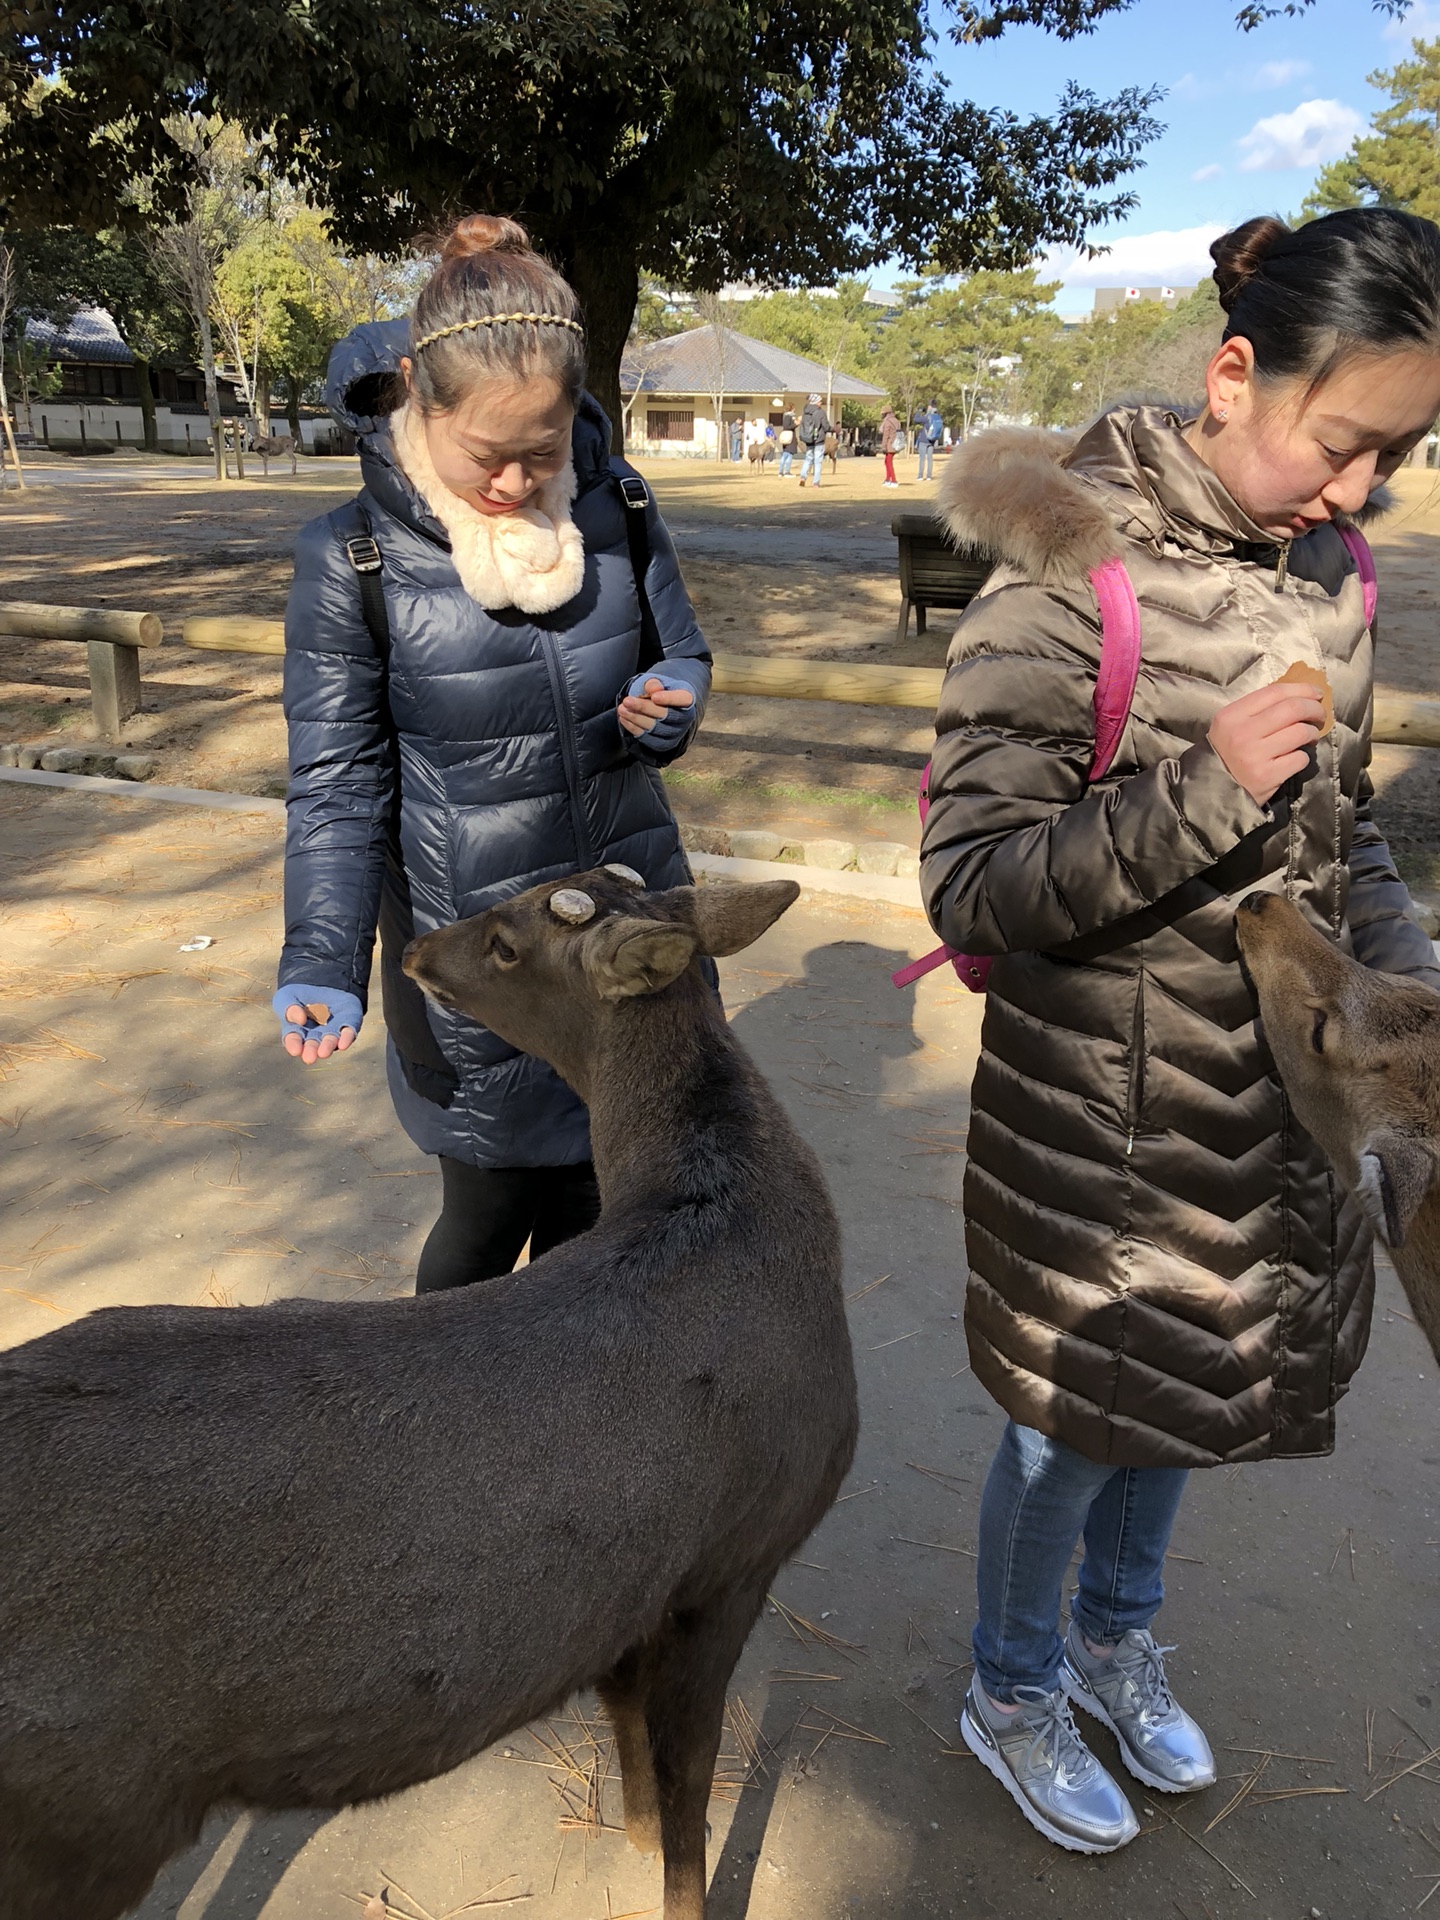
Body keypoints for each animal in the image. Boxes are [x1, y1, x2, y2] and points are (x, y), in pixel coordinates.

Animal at [0, 871, 856, 1920]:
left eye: (509, 945)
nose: (410, 950)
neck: (726, 1205)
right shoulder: (733, 1557)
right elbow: (685, 1785)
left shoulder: (682, 1578)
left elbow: (656, 1773)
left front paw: (637, 1851)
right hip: (84, 1811)